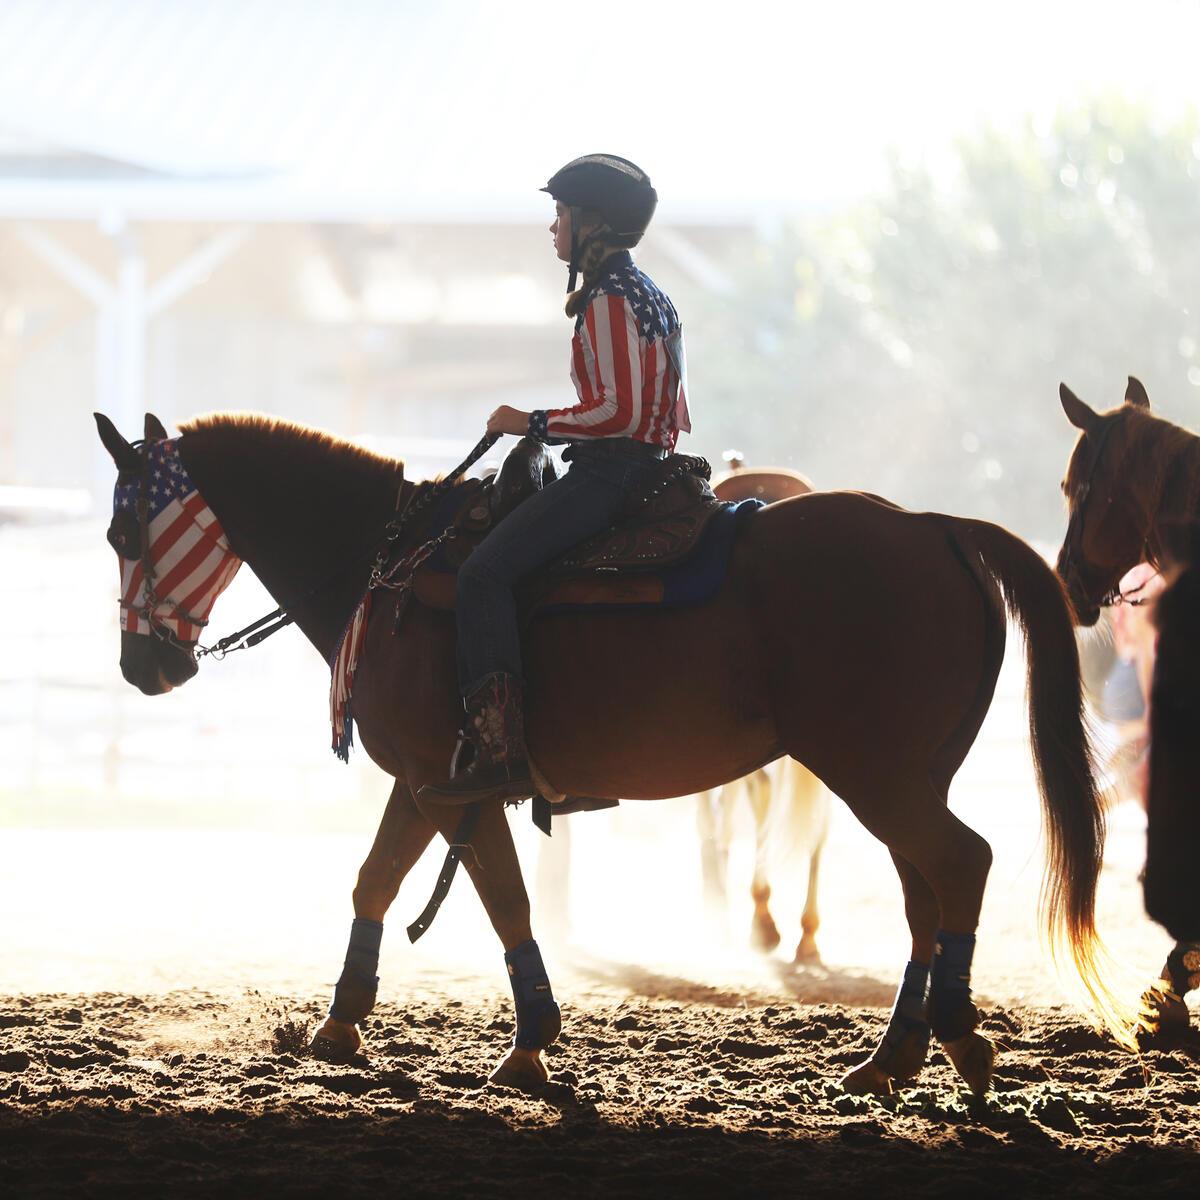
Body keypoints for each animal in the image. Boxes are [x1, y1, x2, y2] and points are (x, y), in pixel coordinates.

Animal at [98, 408, 1128, 1094]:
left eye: (122, 529)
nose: (143, 668)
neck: (392, 570)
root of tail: (933, 527)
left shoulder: (453, 786)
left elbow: (500, 898)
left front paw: (529, 1042)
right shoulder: (432, 783)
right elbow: (378, 881)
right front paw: (341, 1023)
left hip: (876, 773)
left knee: (962, 863)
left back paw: (955, 1037)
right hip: (905, 774)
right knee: (928, 889)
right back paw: (891, 1056)